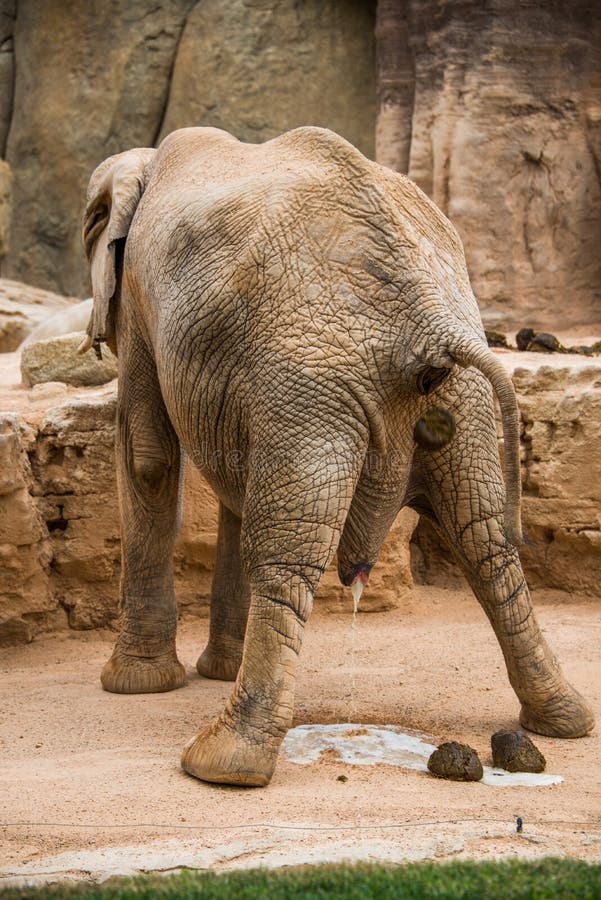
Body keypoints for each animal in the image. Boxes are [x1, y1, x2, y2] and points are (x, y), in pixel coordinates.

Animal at [81, 126, 594, 787]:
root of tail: (428, 320)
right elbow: (225, 480)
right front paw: (205, 672)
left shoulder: (143, 303)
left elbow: (148, 455)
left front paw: (136, 687)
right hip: (450, 393)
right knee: (485, 539)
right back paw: (564, 721)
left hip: (311, 384)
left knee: (289, 547)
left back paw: (221, 765)